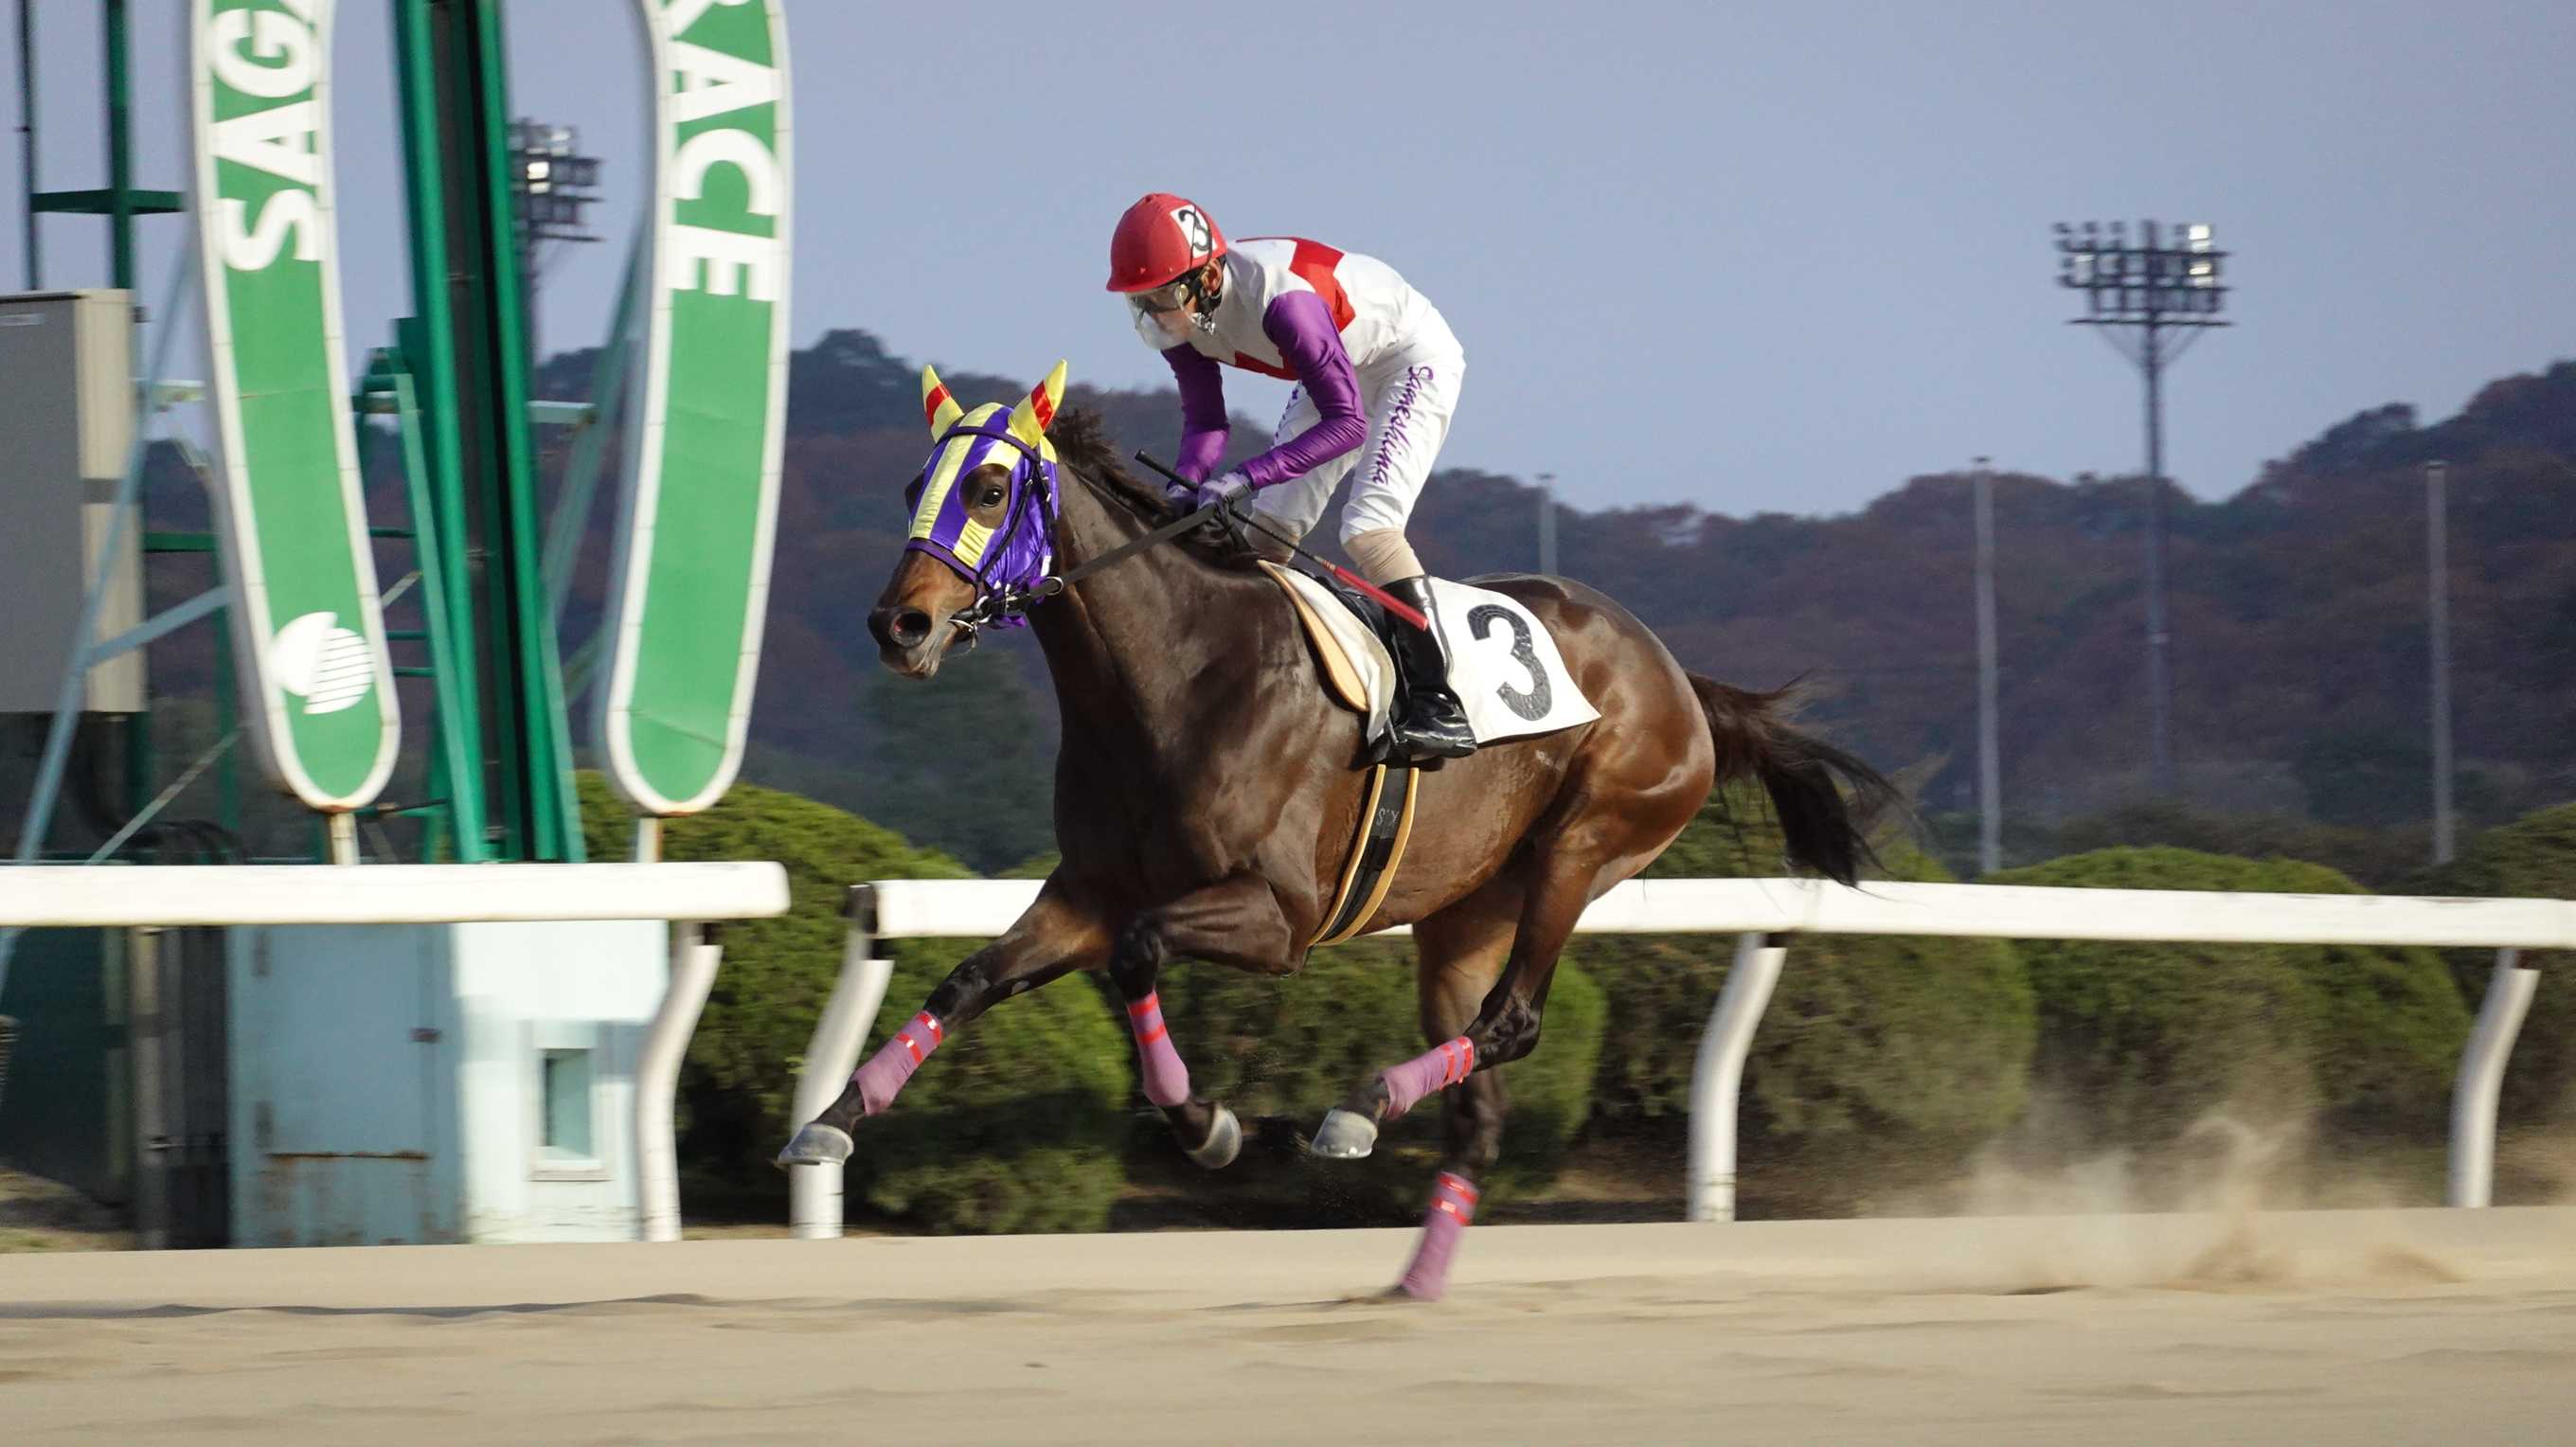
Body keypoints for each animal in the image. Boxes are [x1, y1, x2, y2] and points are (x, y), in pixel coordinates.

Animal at [778, 361, 1895, 1300]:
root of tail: (1678, 677)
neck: (1176, 673)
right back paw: (1412, 1275)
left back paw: (1357, 1109)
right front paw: (829, 1123)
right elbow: (967, 980)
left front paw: (1210, 1126)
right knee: (1479, 1107)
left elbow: (1139, 956)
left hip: (1584, 847)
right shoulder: (1085, 892)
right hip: (1463, 916)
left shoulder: (1278, 918)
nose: (898, 625)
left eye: (988, 490)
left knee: (1513, 1022)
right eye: (914, 483)